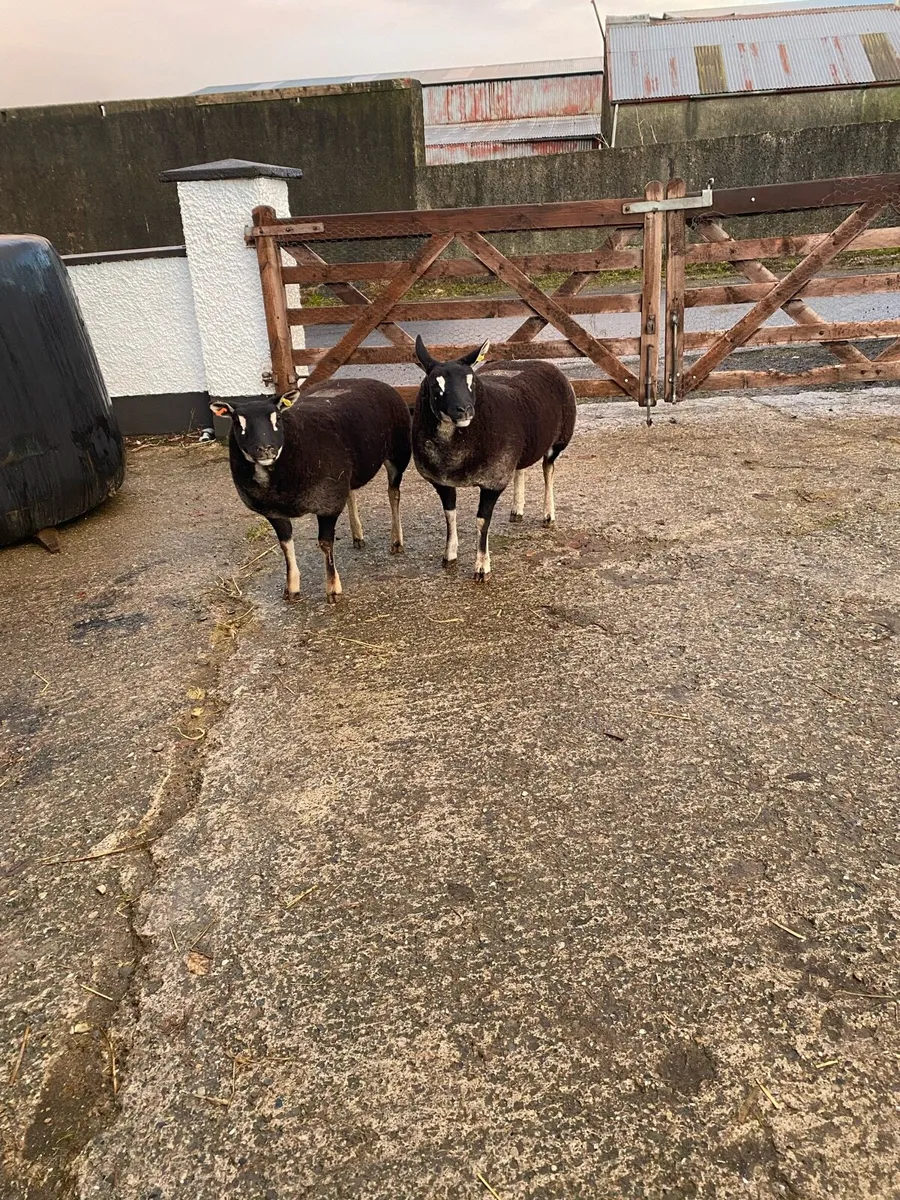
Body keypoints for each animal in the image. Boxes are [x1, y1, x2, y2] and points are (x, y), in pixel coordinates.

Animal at [211, 378, 411, 603]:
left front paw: (333, 589)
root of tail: (366, 380)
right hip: (346, 472)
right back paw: (358, 536)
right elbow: (285, 545)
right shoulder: (274, 511)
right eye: (238, 423)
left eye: (277, 418)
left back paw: (396, 541)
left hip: (397, 453)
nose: (266, 449)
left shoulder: (327, 502)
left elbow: (325, 544)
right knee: (351, 493)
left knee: (393, 494)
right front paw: (292, 587)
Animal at [411, 336, 576, 581]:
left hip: (558, 441)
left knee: (548, 471)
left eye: (471, 381)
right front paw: (449, 555)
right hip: (523, 445)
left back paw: (548, 515)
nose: (465, 410)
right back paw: (517, 510)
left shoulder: (493, 480)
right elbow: (449, 515)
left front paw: (482, 567)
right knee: (520, 468)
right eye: (435, 385)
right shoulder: (442, 481)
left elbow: (482, 521)